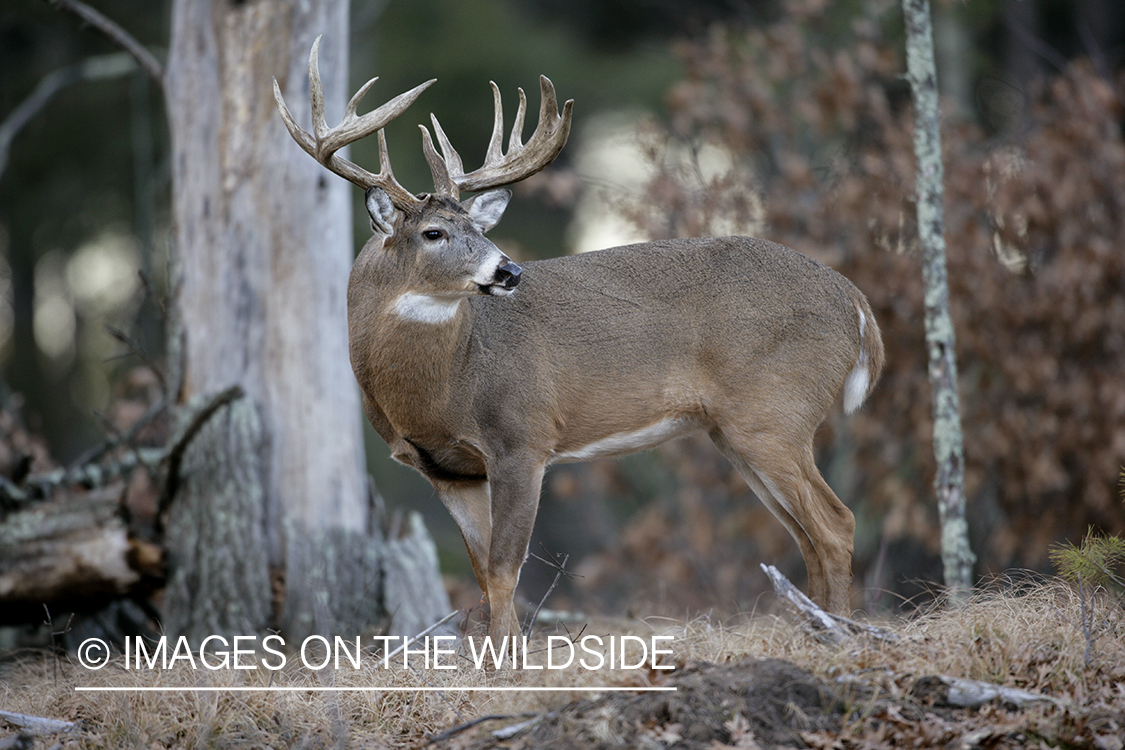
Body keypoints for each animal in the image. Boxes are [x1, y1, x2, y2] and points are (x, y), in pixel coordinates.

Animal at [276, 36, 882, 647]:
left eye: (481, 229)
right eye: (434, 232)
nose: (509, 271)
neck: (442, 388)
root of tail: (854, 301)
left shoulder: (523, 437)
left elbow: (504, 568)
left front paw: (509, 658)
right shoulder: (446, 470)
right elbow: (480, 571)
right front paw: (494, 656)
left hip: (774, 412)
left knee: (837, 524)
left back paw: (845, 632)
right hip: (734, 431)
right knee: (806, 534)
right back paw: (814, 630)